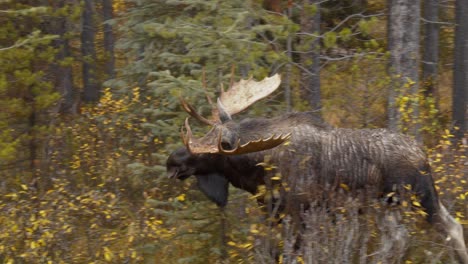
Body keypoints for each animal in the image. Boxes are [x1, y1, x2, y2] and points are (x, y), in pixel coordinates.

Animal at [165, 73, 468, 262]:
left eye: (209, 151)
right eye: (206, 132)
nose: (171, 160)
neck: (257, 171)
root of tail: (424, 156)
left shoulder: (299, 211)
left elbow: (292, 253)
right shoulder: (273, 213)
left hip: (408, 198)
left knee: (411, 236)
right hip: (402, 202)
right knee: (445, 228)